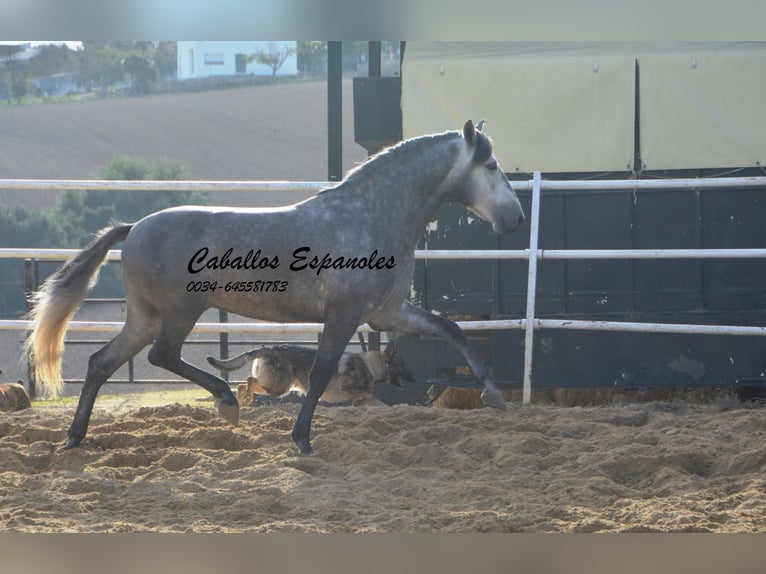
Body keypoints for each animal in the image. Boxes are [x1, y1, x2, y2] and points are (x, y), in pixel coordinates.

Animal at [207, 342, 416, 410]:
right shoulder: (347, 387)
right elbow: (370, 395)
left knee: (243, 384)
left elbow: (375, 400)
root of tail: (271, 349)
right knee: (249, 382)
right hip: (280, 388)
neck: (370, 365)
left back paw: (241, 401)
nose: (414, 379)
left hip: (278, 387)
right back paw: (247, 400)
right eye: (402, 365)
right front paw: (360, 403)